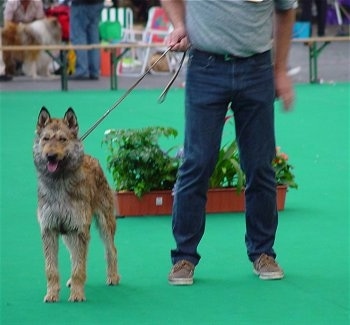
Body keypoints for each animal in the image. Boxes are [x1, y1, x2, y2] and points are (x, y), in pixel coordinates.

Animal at [33, 107, 120, 302]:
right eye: (46, 139)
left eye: (63, 139)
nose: (50, 156)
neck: (59, 182)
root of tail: (91, 158)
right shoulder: (50, 230)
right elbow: (51, 269)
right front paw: (52, 293)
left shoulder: (79, 229)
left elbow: (79, 267)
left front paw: (78, 294)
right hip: (68, 234)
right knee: (74, 255)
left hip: (104, 223)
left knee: (111, 250)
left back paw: (113, 276)